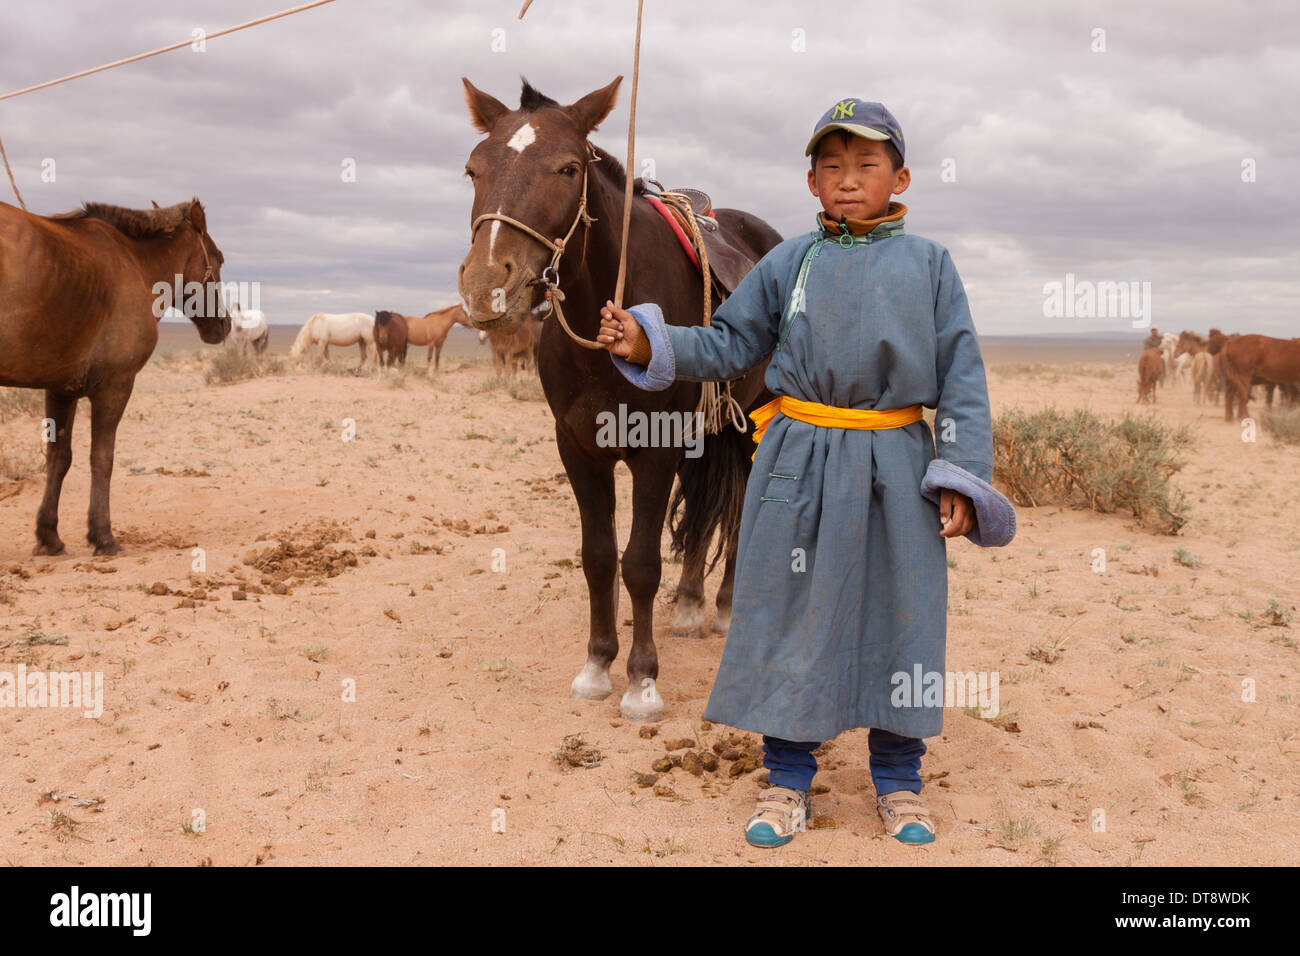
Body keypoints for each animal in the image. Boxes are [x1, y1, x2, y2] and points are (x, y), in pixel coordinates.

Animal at [0, 199, 228, 556]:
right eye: (218, 258)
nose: (224, 324)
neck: (134, 264)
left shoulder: (60, 389)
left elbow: (59, 457)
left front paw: (49, 536)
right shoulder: (115, 386)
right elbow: (102, 459)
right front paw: (103, 536)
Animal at [460, 78, 780, 723]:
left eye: (568, 168)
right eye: (473, 168)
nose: (486, 287)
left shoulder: (654, 452)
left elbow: (639, 563)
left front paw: (641, 681)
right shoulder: (580, 449)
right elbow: (599, 557)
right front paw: (596, 665)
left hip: (748, 427)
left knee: (738, 513)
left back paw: (726, 607)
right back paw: (690, 603)